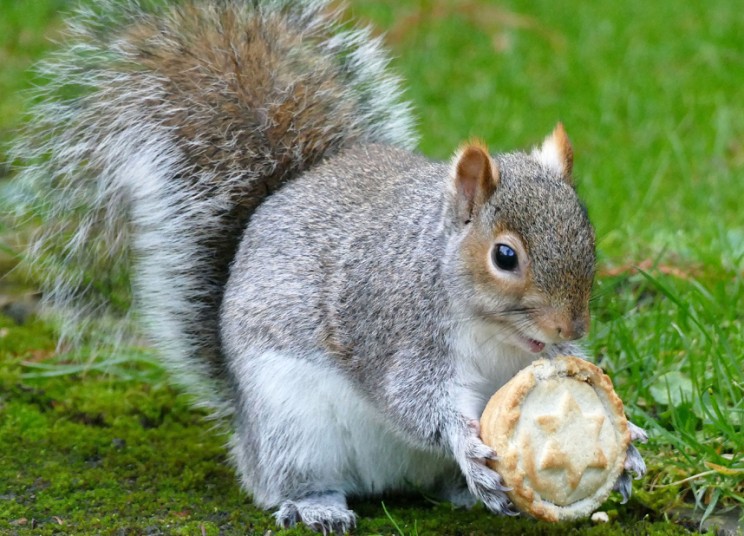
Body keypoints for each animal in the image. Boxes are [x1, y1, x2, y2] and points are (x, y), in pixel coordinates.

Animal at [14, 0, 648, 532]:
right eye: (505, 256)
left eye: (587, 232)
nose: (572, 325)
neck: (490, 330)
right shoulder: (394, 328)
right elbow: (412, 401)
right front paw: (465, 443)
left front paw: (631, 441)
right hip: (292, 425)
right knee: (289, 480)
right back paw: (317, 505)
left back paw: (464, 492)